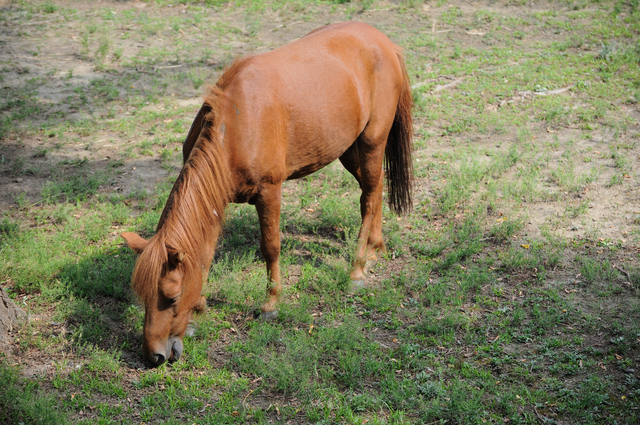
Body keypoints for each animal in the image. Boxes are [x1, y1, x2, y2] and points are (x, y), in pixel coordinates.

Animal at [121, 22, 413, 366]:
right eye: (142, 294)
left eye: (172, 296)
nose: (153, 356)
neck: (235, 125)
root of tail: (383, 41)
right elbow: (205, 253)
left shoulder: (269, 192)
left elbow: (271, 247)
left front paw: (271, 305)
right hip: (348, 149)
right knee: (375, 189)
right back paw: (375, 248)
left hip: (371, 141)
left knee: (368, 199)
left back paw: (357, 268)